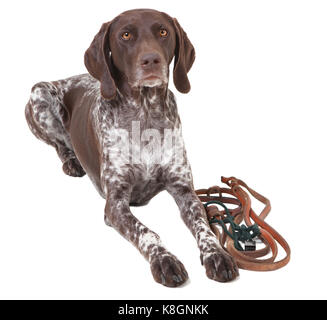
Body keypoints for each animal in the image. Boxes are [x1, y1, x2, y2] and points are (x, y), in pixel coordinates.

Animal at [25, 8, 238, 288]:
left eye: (163, 32)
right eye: (125, 35)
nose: (151, 60)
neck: (144, 115)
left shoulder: (185, 191)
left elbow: (204, 227)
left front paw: (216, 254)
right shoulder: (115, 204)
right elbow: (147, 232)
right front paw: (165, 260)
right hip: (38, 93)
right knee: (60, 143)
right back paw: (71, 161)